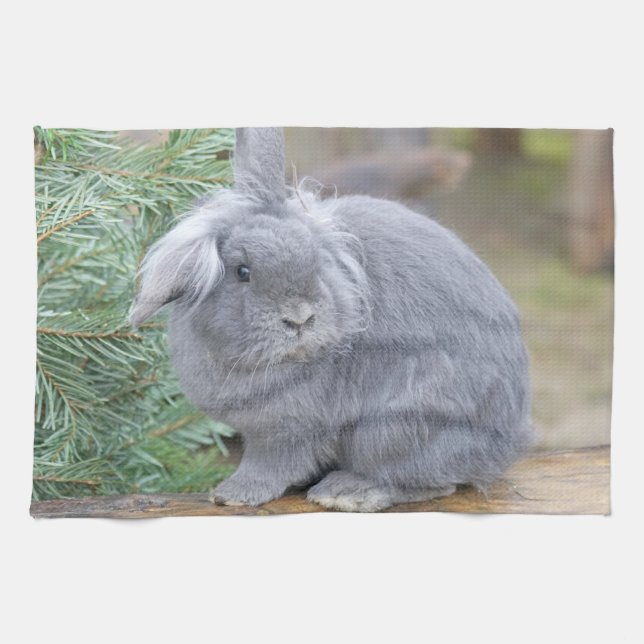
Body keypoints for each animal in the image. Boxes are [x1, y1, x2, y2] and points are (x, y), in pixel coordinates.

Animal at [130, 127, 534, 512]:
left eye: (316, 262)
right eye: (242, 272)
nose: (299, 318)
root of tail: (507, 443)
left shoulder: (286, 432)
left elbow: (269, 465)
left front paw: (232, 494)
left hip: (396, 428)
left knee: (430, 482)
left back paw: (349, 492)